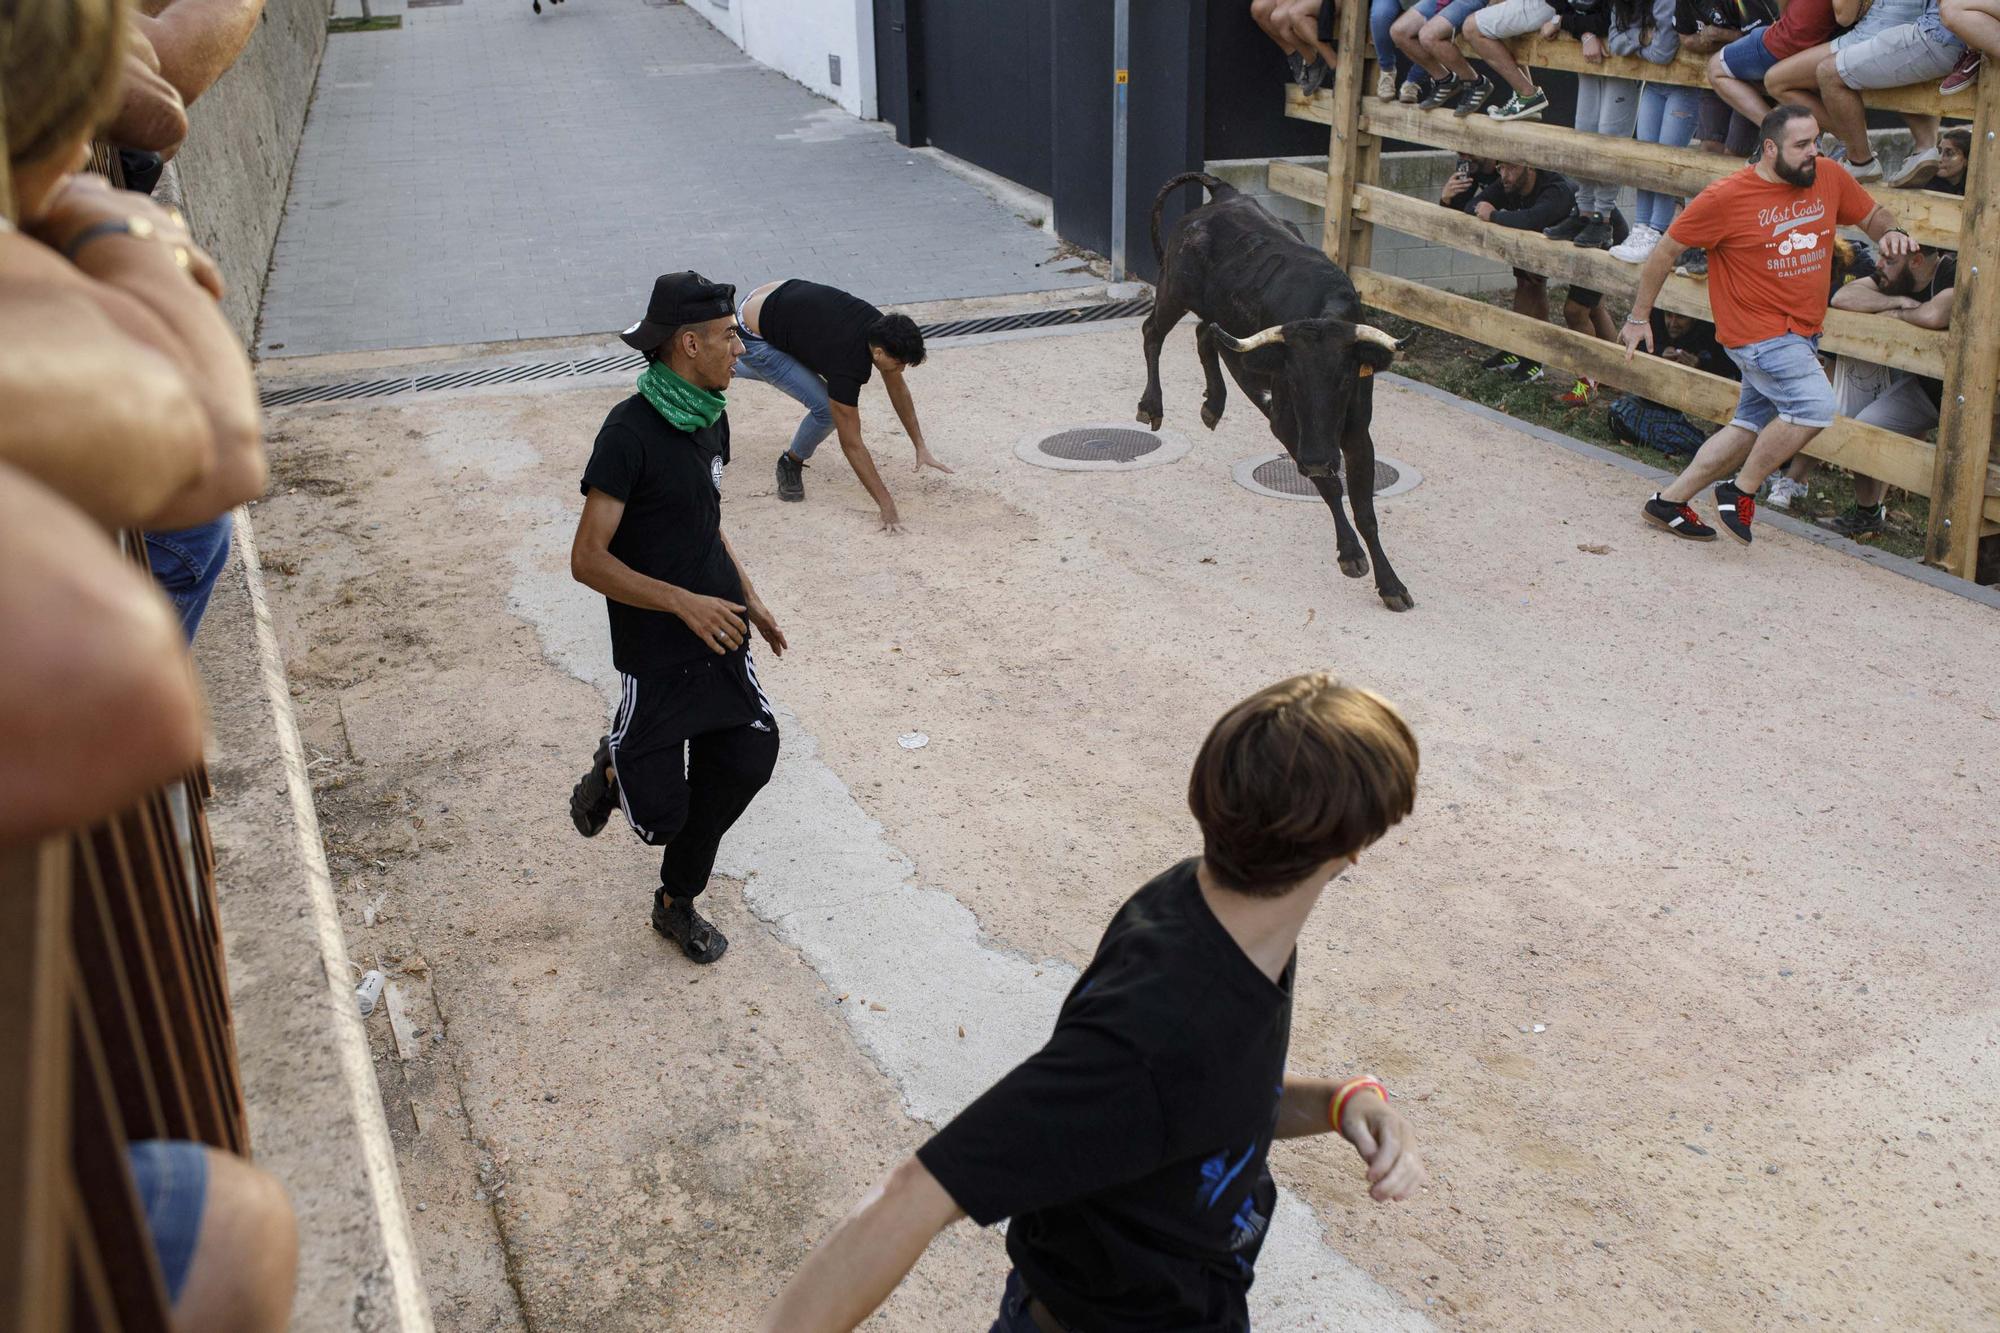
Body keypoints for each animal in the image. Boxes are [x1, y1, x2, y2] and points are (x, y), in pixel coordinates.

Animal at [1136, 171, 1416, 612]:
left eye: (1345, 379)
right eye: (1293, 378)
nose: (1318, 459)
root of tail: (1223, 192)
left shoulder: (1358, 433)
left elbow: (1366, 510)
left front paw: (1390, 584)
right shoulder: (1286, 425)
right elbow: (1332, 488)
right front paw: (1350, 554)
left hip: (1215, 313)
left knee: (1205, 334)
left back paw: (1214, 404)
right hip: (1174, 290)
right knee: (1153, 332)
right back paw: (1152, 405)